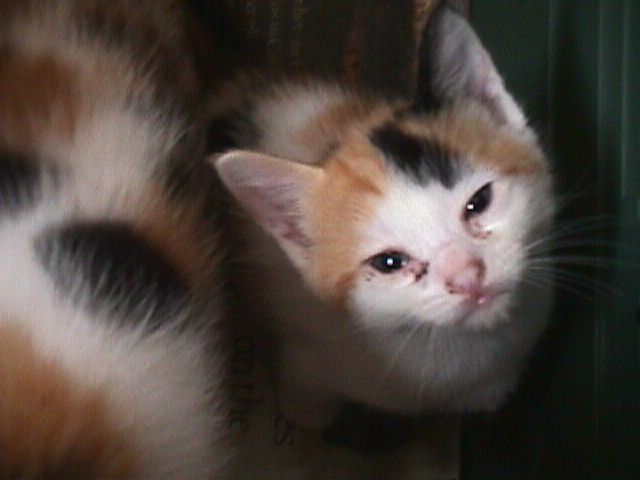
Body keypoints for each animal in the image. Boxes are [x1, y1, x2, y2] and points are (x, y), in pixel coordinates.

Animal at [209, 4, 555, 429]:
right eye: (389, 262)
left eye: (479, 201)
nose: (468, 276)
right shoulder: (306, 352)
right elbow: (306, 405)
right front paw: (305, 416)